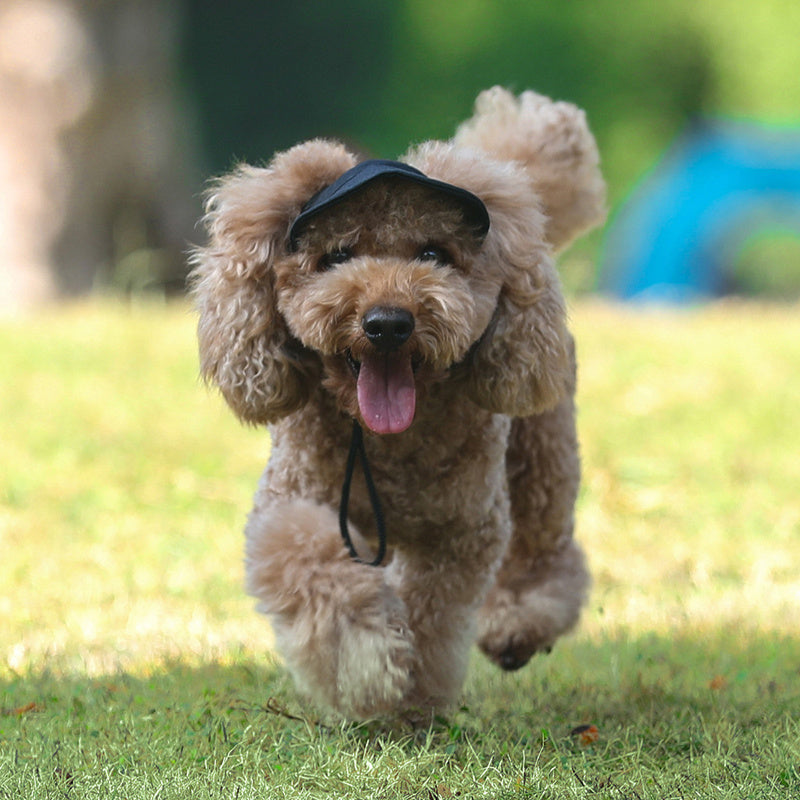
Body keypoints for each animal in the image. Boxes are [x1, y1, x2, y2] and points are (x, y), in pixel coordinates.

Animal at [191, 87, 604, 720]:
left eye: (434, 253)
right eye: (335, 256)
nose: (387, 323)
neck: (390, 446)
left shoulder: (460, 532)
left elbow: (433, 615)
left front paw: (412, 695)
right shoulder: (293, 504)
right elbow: (310, 564)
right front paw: (368, 666)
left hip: (542, 452)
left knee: (544, 544)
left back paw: (518, 625)